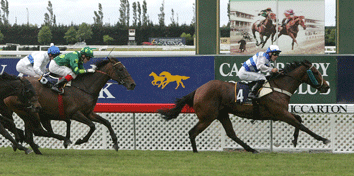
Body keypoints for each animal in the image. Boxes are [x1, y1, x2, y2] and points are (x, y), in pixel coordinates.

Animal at [4, 56, 136, 153]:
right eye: (120, 69)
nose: (132, 84)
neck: (84, 87)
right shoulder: (75, 113)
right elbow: (92, 126)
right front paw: (80, 141)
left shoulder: (88, 113)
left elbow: (106, 122)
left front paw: (115, 143)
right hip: (31, 112)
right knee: (37, 131)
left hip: (33, 113)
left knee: (31, 134)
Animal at [159, 59, 330, 153]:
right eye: (316, 72)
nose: (326, 86)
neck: (279, 86)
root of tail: (198, 89)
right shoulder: (280, 113)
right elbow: (302, 125)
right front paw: (323, 139)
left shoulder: (279, 113)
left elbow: (299, 119)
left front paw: (294, 140)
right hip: (208, 117)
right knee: (192, 132)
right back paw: (195, 153)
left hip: (222, 114)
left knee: (231, 133)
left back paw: (252, 149)